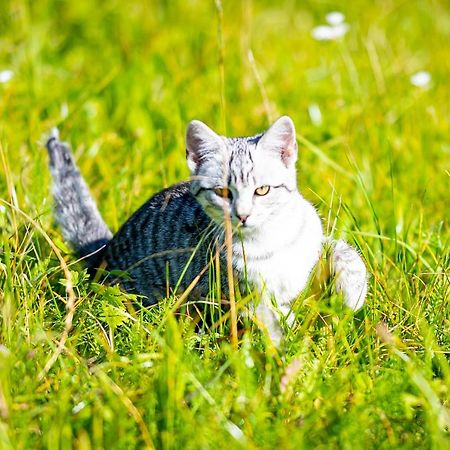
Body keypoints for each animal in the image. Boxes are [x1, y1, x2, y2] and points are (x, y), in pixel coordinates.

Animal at [47, 116, 368, 344]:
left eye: (262, 190)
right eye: (223, 192)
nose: (243, 215)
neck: (269, 240)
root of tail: (105, 250)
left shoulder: (311, 236)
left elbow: (345, 252)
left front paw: (353, 293)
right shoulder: (239, 291)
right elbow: (270, 316)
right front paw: (290, 335)